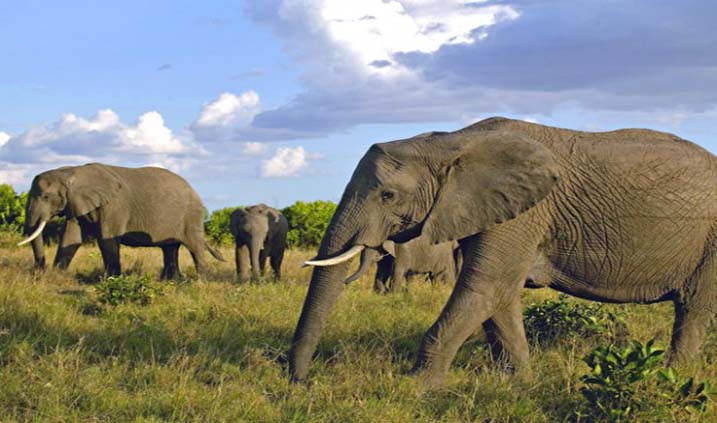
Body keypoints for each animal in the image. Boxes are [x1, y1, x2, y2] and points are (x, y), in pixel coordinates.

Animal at [18, 163, 223, 279]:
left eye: (45, 197)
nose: (38, 270)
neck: (71, 171)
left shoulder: (114, 206)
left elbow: (107, 239)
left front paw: (112, 280)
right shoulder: (76, 203)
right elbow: (71, 238)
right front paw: (56, 277)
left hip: (192, 215)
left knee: (194, 246)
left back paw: (201, 280)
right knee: (170, 248)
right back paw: (171, 280)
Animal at [291, 116, 717, 388]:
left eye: (388, 196)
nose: (298, 380)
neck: (448, 142)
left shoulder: (524, 213)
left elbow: (484, 288)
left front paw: (414, 388)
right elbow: (500, 297)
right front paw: (517, 382)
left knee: (694, 308)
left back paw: (673, 378)